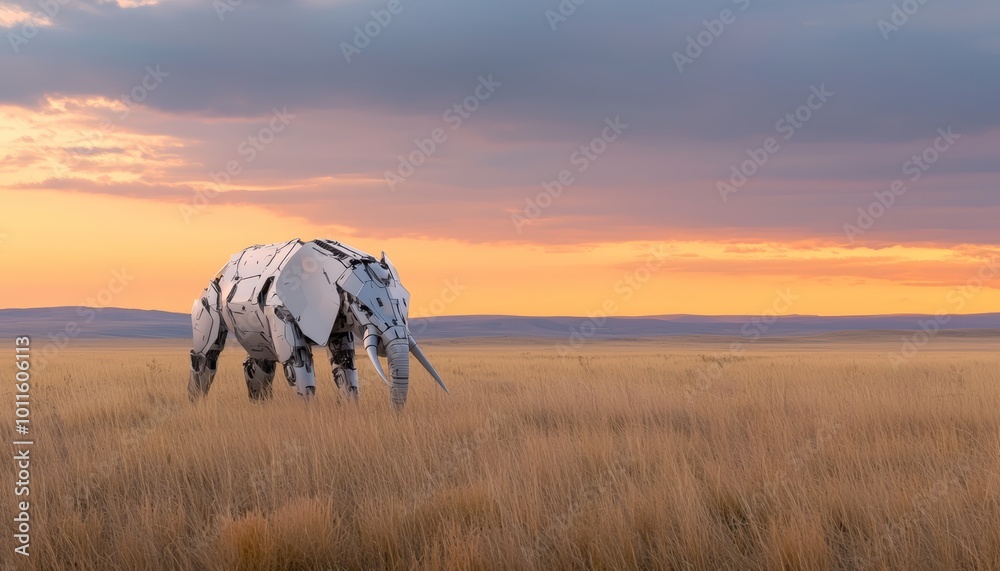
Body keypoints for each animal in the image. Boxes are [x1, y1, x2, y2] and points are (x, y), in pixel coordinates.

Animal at [188, 239, 448, 408]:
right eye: (361, 305)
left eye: (404, 303)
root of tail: (221, 268)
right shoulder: (280, 310)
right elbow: (296, 360)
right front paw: (309, 413)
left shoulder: (337, 319)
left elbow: (345, 360)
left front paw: (350, 407)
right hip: (209, 300)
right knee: (206, 356)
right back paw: (196, 404)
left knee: (261, 361)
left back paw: (259, 406)